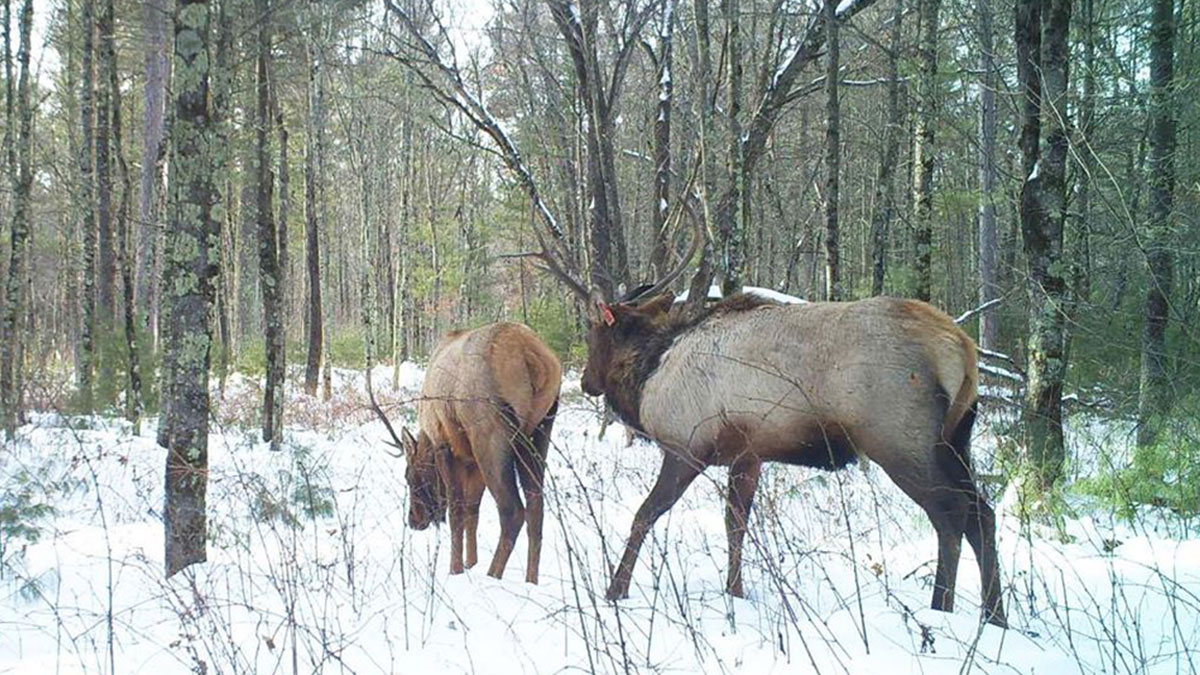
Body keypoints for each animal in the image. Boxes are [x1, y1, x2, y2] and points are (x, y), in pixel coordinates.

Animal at [371, 322, 562, 583]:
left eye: (409, 476)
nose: (413, 520)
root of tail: (532, 357)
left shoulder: (444, 444)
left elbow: (456, 511)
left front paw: (456, 569)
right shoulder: (471, 460)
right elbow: (473, 510)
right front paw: (471, 563)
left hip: (491, 433)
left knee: (512, 510)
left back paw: (493, 575)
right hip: (539, 431)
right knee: (536, 508)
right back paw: (530, 580)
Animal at [530, 210, 1008, 628]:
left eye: (595, 329)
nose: (587, 382)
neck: (650, 371)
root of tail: (962, 348)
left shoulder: (687, 446)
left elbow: (646, 515)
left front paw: (616, 589)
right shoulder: (749, 453)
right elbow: (736, 524)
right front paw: (736, 591)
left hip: (900, 440)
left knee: (950, 513)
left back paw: (942, 608)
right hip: (955, 439)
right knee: (982, 513)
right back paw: (994, 616)